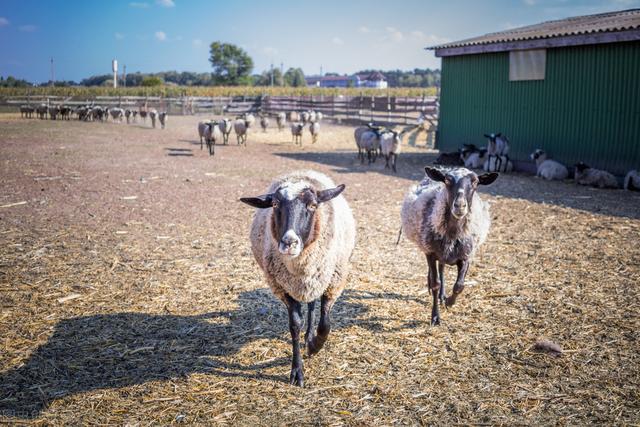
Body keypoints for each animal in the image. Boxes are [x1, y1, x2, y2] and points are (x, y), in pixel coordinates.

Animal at [240, 171, 358, 388]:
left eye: (312, 205)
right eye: (275, 204)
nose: (289, 242)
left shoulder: (332, 282)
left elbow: (325, 324)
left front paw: (314, 346)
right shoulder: (283, 287)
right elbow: (295, 325)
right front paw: (297, 371)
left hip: (316, 279)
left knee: (312, 306)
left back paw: (310, 337)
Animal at [400, 168, 500, 328]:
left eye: (475, 182)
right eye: (447, 180)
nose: (459, 205)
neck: (453, 234)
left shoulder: (466, 256)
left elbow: (459, 285)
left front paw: (449, 302)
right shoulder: (430, 253)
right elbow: (435, 283)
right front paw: (435, 317)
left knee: (442, 270)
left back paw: (442, 296)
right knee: (435, 274)